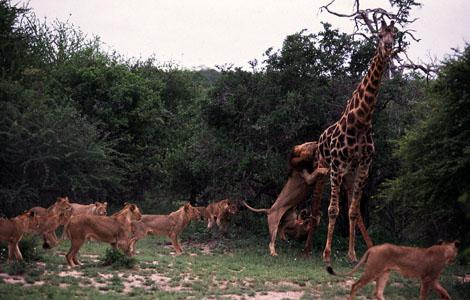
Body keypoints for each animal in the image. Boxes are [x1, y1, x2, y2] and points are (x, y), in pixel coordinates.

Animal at [304, 19, 396, 264]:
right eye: (379, 34)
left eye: (395, 35)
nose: (388, 47)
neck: (362, 121)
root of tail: (320, 137)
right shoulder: (336, 166)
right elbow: (332, 210)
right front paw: (326, 254)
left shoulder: (363, 166)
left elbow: (353, 211)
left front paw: (353, 254)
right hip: (323, 167)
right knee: (316, 207)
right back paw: (308, 249)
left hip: (347, 174)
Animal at [326, 241, 458, 300]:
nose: (455, 259)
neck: (445, 251)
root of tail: (373, 248)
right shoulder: (426, 279)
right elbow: (423, 295)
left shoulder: (433, 279)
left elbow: (444, 291)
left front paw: (446, 298)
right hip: (372, 271)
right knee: (355, 285)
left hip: (384, 273)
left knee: (378, 293)